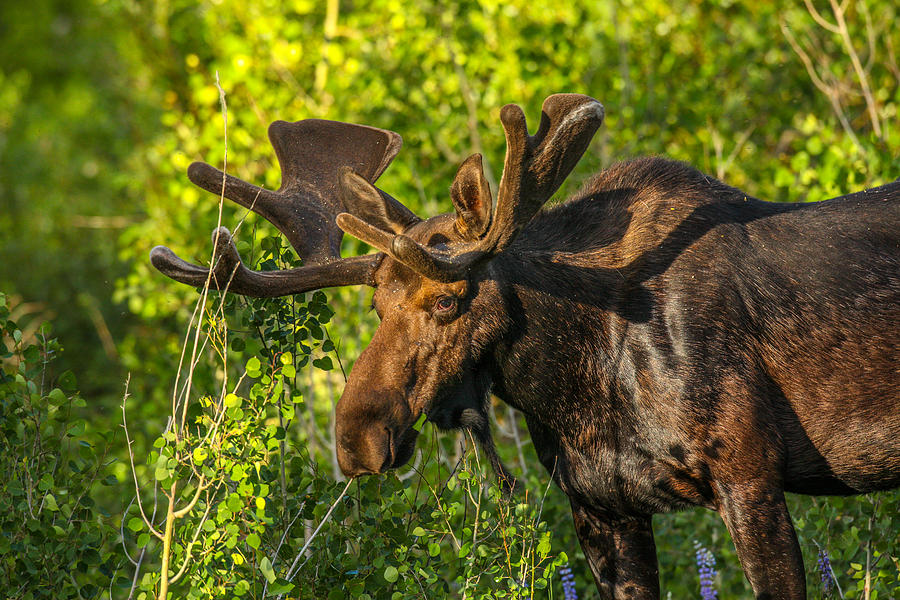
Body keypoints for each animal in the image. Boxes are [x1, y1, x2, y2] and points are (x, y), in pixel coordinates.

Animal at [153, 95, 900, 600]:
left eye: (448, 300)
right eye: (375, 305)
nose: (356, 439)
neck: (583, 382)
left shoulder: (750, 476)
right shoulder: (601, 505)